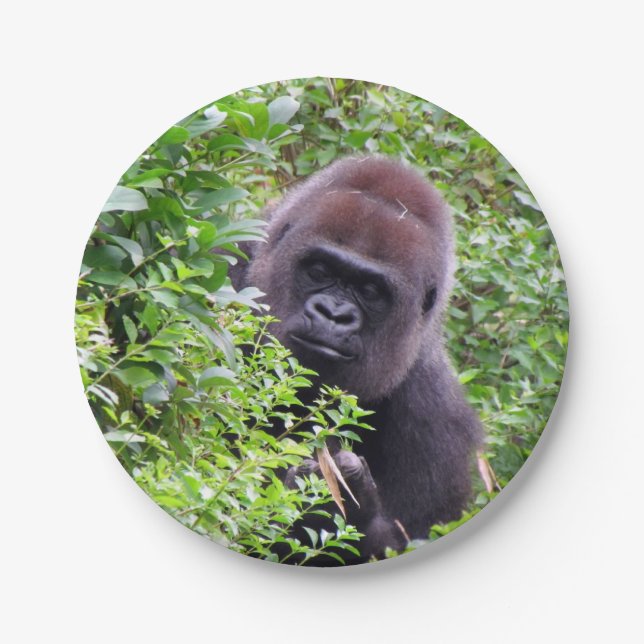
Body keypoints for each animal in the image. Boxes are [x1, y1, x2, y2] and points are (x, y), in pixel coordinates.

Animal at [231, 155, 482, 565]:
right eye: (319, 270)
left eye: (370, 291)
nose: (333, 315)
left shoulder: (437, 419)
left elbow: (408, 537)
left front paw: (344, 504)